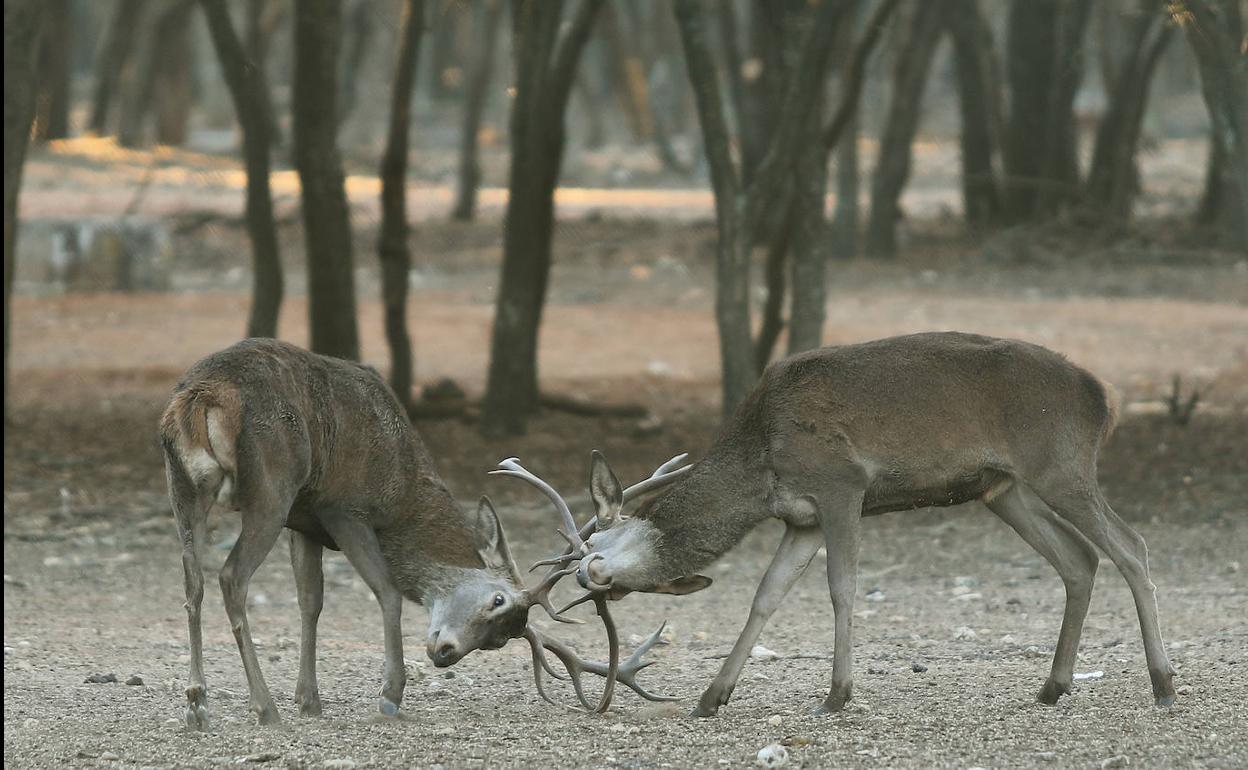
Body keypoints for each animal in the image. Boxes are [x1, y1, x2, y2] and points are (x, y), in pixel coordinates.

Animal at [163, 339, 683, 728]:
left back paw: (197, 703)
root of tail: (201, 396)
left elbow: (311, 602)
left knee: (193, 580)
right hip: (271, 486)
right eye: (497, 601)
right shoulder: (342, 506)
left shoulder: (303, 520)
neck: (403, 495)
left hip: (184, 487)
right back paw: (263, 708)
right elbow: (388, 590)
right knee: (231, 576)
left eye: (498, 641)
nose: (444, 654)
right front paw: (390, 694)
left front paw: (310, 699)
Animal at [491, 334, 1173, 718]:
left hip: (1060, 464)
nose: (594, 576)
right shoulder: (803, 518)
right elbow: (765, 595)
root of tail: (1105, 397)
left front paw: (837, 694)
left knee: (1133, 546)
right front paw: (712, 698)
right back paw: (1053, 685)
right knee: (1080, 559)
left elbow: (841, 589)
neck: (760, 462)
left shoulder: (843, 485)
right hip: (1004, 489)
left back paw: (1163, 684)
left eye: (596, 540)